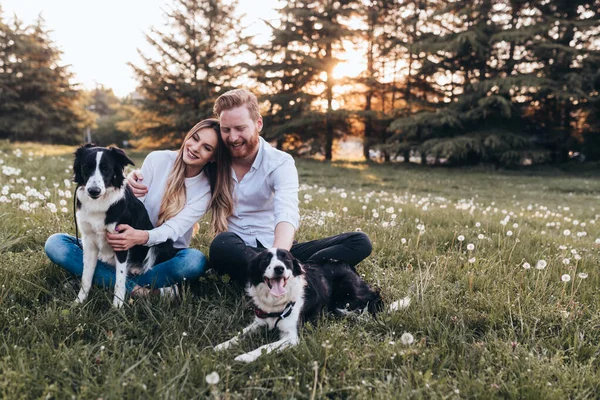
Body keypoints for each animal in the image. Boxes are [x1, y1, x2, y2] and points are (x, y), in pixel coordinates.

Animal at [73, 145, 176, 308]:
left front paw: (117, 307)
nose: (94, 191)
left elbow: (120, 280)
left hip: (163, 243)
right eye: (86, 168)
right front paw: (79, 301)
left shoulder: (121, 242)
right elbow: (86, 277)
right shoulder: (89, 242)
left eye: (106, 169)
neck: (99, 203)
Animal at [213, 248, 382, 360]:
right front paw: (222, 346)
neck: (278, 302)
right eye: (265, 260)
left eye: (286, 260)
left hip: (344, 302)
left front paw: (245, 357)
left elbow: (265, 347)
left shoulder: (292, 337)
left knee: (373, 300)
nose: (279, 268)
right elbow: (241, 333)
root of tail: (346, 265)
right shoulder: (260, 321)